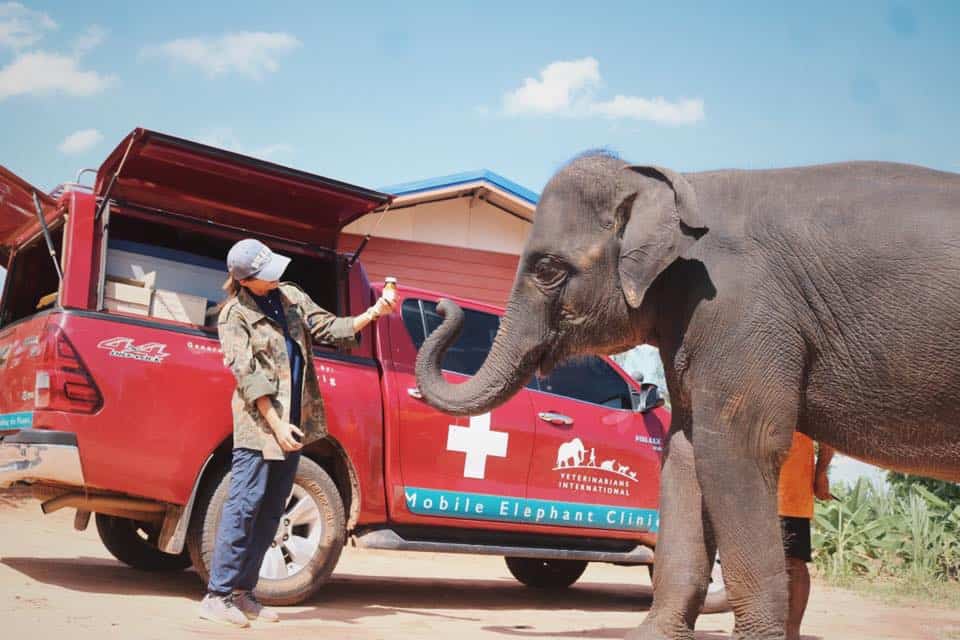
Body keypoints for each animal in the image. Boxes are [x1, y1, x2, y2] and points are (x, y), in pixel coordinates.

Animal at [416, 155, 960, 640]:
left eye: (548, 269)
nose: (442, 304)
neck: (679, 184)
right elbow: (684, 451)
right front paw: (650, 635)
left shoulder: (739, 311)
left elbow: (736, 450)